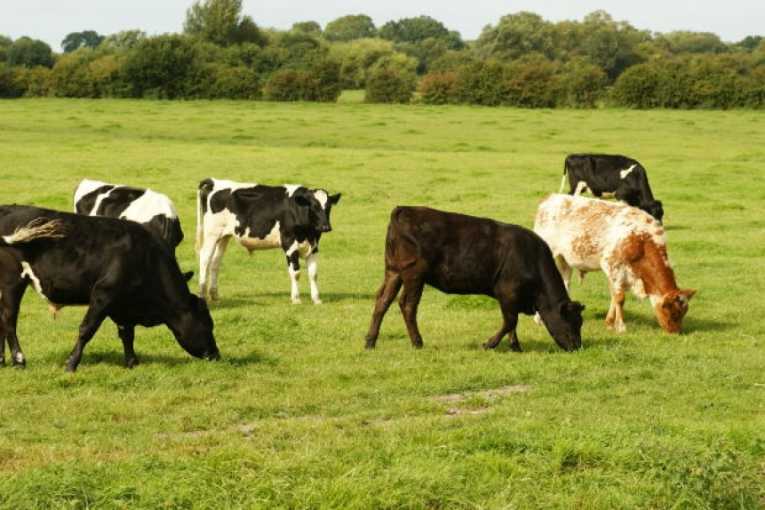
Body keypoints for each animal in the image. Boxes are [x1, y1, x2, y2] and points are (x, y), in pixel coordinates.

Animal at [0, 205, 219, 372]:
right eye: (208, 324)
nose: (216, 354)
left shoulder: (123, 305)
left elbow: (127, 334)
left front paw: (132, 362)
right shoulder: (103, 294)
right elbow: (87, 329)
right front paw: (71, 364)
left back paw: (2, 361)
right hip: (13, 281)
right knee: (9, 319)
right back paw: (19, 360)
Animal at [196, 178, 341, 304]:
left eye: (328, 207)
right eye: (314, 206)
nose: (326, 227)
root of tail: (215, 181)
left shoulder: (314, 247)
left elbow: (313, 274)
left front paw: (316, 299)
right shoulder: (290, 245)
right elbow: (296, 273)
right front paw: (296, 299)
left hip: (223, 237)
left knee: (215, 262)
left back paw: (214, 295)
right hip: (211, 234)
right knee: (204, 259)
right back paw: (202, 294)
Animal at [364, 206, 585, 352]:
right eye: (572, 322)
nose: (577, 346)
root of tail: (403, 210)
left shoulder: (513, 298)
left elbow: (512, 323)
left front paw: (515, 346)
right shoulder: (507, 292)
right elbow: (510, 321)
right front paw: (489, 343)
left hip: (393, 272)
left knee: (382, 302)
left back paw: (370, 342)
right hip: (414, 275)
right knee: (407, 305)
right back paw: (417, 342)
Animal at [534, 194, 695, 334]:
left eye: (683, 313)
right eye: (673, 312)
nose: (676, 332)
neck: (642, 240)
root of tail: (551, 198)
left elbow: (614, 295)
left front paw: (610, 323)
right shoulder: (612, 264)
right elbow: (620, 298)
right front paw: (621, 326)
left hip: (564, 259)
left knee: (565, 283)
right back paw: (538, 319)